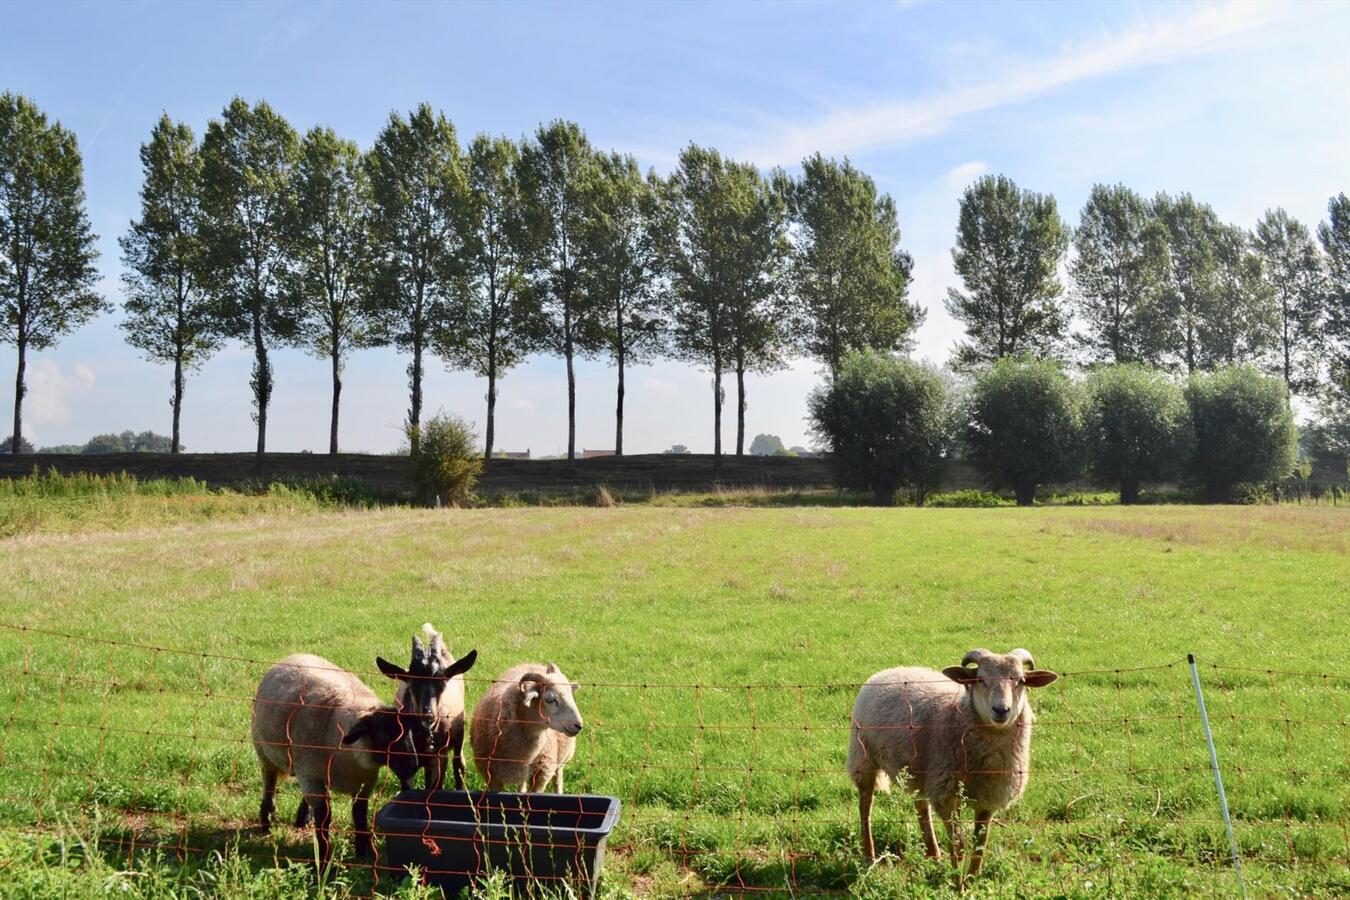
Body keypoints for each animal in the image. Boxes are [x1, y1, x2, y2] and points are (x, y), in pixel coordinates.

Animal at [251, 650, 423, 868]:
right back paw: (266, 821)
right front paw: (324, 860)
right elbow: (324, 818)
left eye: (411, 733)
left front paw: (364, 851)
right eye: (385, 735)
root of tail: (295, 655)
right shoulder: (312, 776)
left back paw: (302, 818)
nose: (413, 766)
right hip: (267, 755)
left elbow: (359, 813)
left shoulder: (364, 782)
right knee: (269, 785)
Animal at [386, 626, 480, 788]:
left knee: (459, 763)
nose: (428, 716)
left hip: (459, 735)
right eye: (412, 684)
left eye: (442, 683)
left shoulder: (439, 757)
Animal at [472, 661, 583, 793]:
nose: (579, 725)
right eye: (550, 699)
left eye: (571, 696)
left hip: (561, 758)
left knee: (558, 779)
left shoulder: (542, 773)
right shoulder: (490, 775)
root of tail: (534, 663)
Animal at [847, 647, 1058, 885]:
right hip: (864, 758)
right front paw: (958, 884)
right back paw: (869, 857)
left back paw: (934, 855)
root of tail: (890, 670)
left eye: (1021, 681)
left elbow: (980, 844)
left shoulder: (988, 798)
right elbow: (957, 844)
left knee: (921, 807)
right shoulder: (947, 795)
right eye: (980, 679)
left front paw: (972, 880)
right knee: (866, 806)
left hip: (920, 771)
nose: (1001, 710)